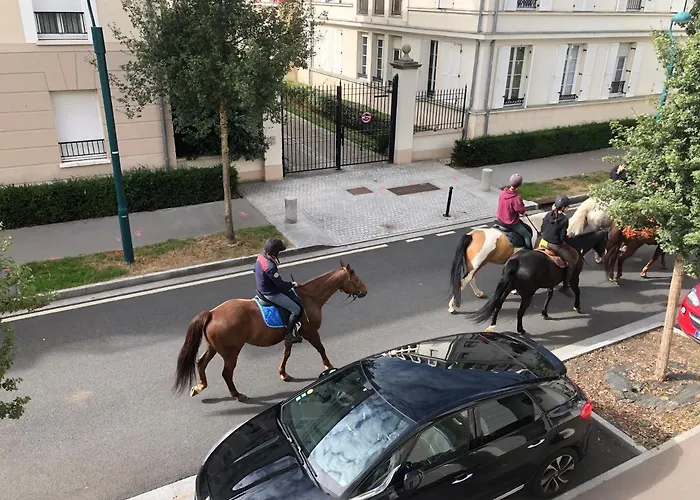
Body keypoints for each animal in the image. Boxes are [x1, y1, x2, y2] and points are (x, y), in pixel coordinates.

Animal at [173, 261, 368, 402]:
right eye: (356, 279)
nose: (365, 292)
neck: (308, 297)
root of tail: (212, 313)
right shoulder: (311, 332)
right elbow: (321, 348)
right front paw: (328, 367)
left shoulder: (290, 335)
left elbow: (286, 353)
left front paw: (283, 373)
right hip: (231, 353)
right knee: (226, 373)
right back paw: (237, 395)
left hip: (213, 348)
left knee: (200, 363)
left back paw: (199, 386)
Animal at [458, 229, 608, 336]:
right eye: (605, 240)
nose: (604, 254)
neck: (575, 246)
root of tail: (515, 261)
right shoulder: (574, 278)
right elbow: (577, 291)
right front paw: (577, 306)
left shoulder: (550, 283)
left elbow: (549, 296)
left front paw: (545, 313)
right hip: (527, 295)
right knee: (519, 312)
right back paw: (520, 330)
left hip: (507, 288)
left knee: (498, 305)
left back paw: (492, 325)